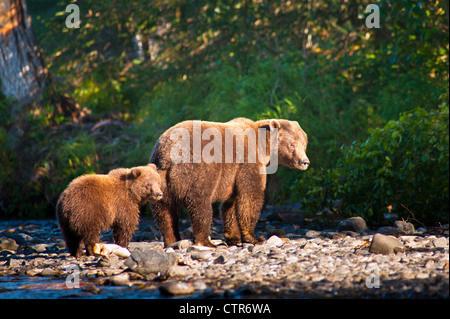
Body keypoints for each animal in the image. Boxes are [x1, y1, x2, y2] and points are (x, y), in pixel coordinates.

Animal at [149, 117, 308, 248]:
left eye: (304, 143)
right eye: (292, 144)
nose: (304, 161)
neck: (264, 146)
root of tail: (166, 154)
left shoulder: (232, 176)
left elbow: (230, 204)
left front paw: (233, 236)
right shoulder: (247, 162)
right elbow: (250, 196)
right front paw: (255, 237)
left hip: (160, 182)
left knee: (164, 213)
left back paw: (172, 240)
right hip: (195, 171)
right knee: (201, 205)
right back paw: (206, 241)